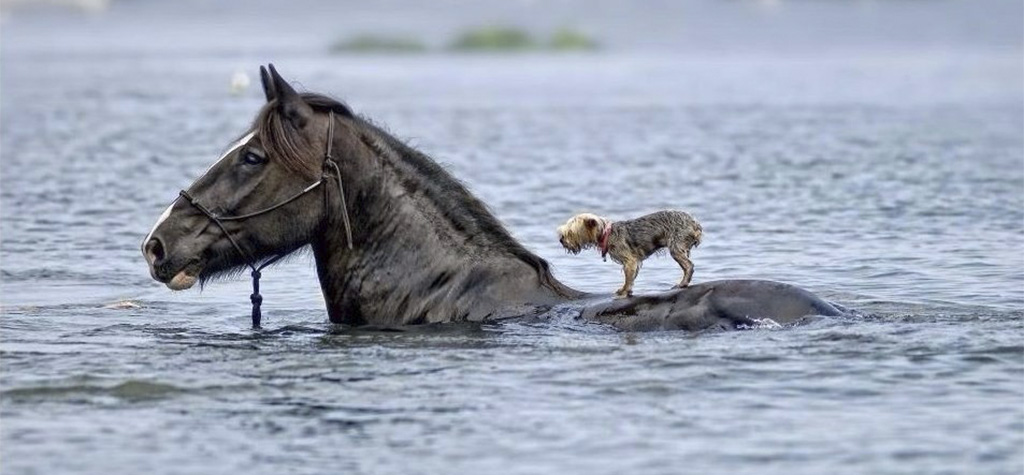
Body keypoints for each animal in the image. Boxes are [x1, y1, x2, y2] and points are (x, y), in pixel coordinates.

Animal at [557, 210, 700, 298]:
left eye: (570, 233)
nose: (561, 240)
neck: (606, 234)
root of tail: (695, 224)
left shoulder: (629, 260)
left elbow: (628, 278)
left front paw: (624, 291)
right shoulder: (634, 262)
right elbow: (632, 277)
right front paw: (627, 290)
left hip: (676, 246)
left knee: (688, 266)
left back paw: (682, 283)